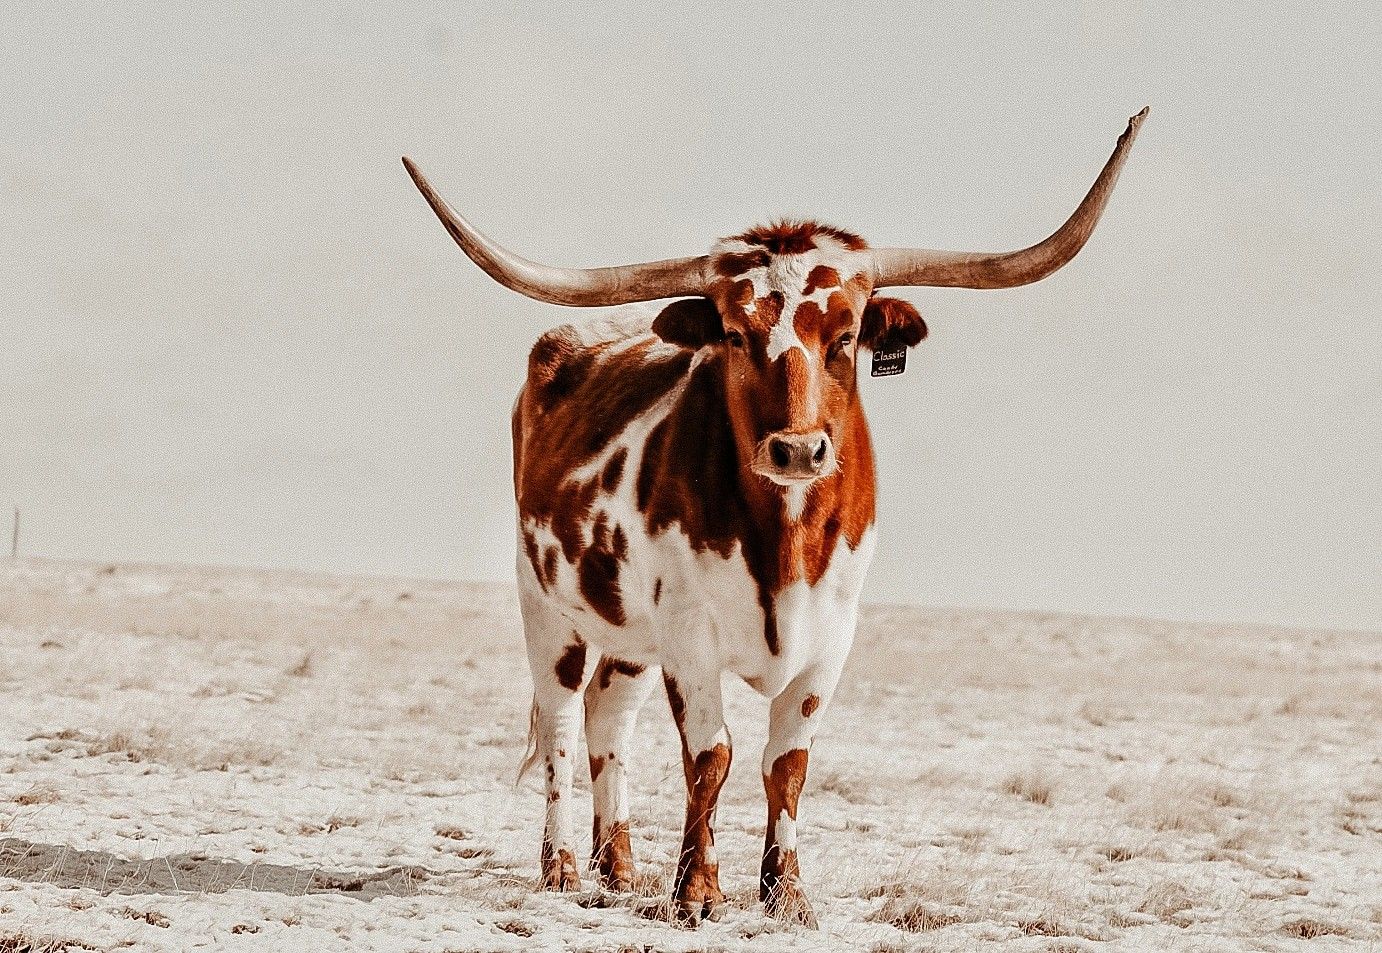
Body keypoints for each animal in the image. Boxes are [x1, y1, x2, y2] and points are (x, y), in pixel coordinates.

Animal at [400, 107, 1144, 922]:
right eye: (734, 334)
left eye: (846, 336)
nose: (796, 448)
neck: (785, 544)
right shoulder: (689, 636)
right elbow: (712, 754)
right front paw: (697, 889)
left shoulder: (829, 639)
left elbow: (787, 763)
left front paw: (785, 893)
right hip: (546, 606)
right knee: (563, 720)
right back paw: (563, 865)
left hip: (629, 627)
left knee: (607, 712)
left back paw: (617, 867)